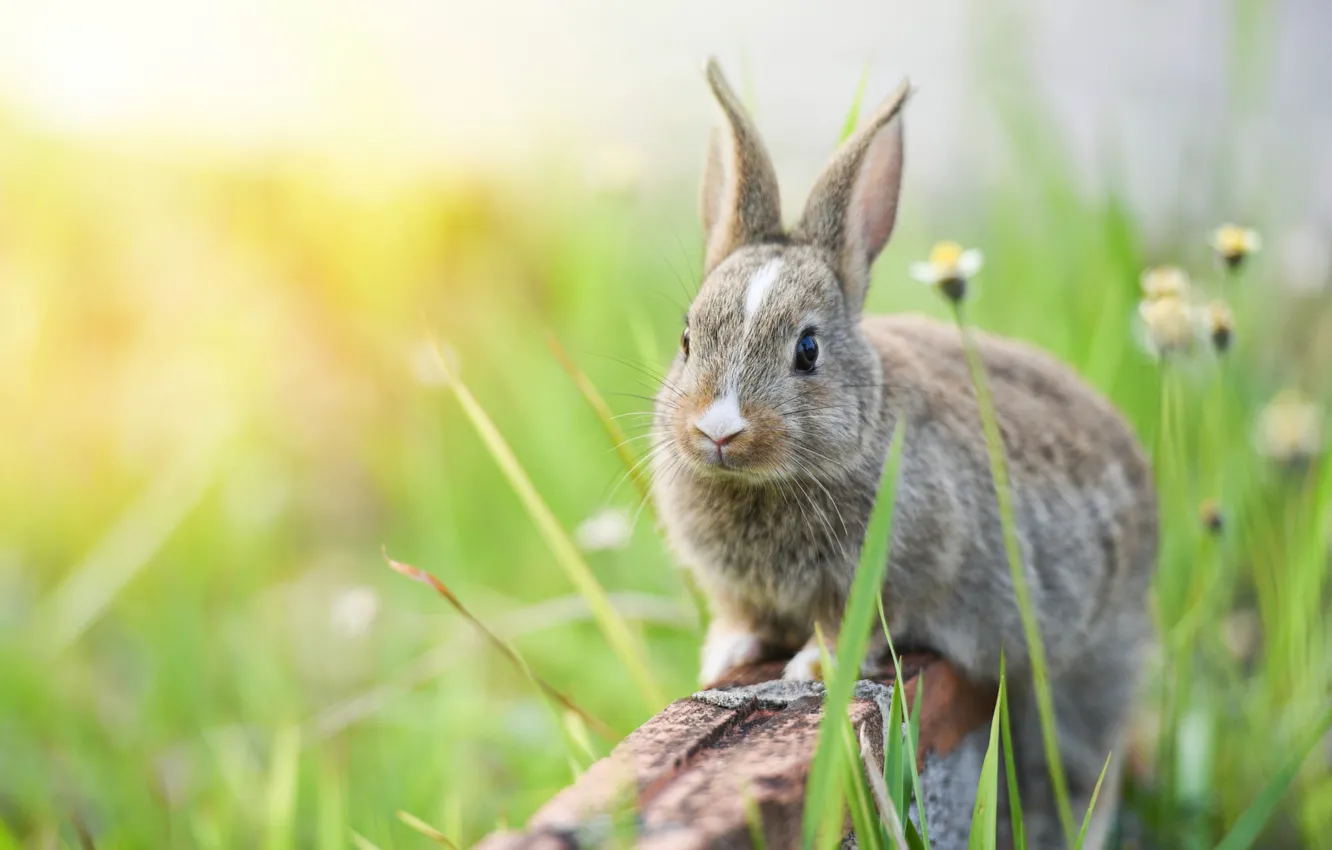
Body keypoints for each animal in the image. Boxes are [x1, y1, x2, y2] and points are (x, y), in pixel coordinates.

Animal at [650, 59, 1157, 849]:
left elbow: (844, 630)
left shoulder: (885, 576)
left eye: (807, 350)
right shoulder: (737, 589)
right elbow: (740, 619)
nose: (719, 431)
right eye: (686, 338)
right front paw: (725, 656)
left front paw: (810, 663)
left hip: (1086, 669)